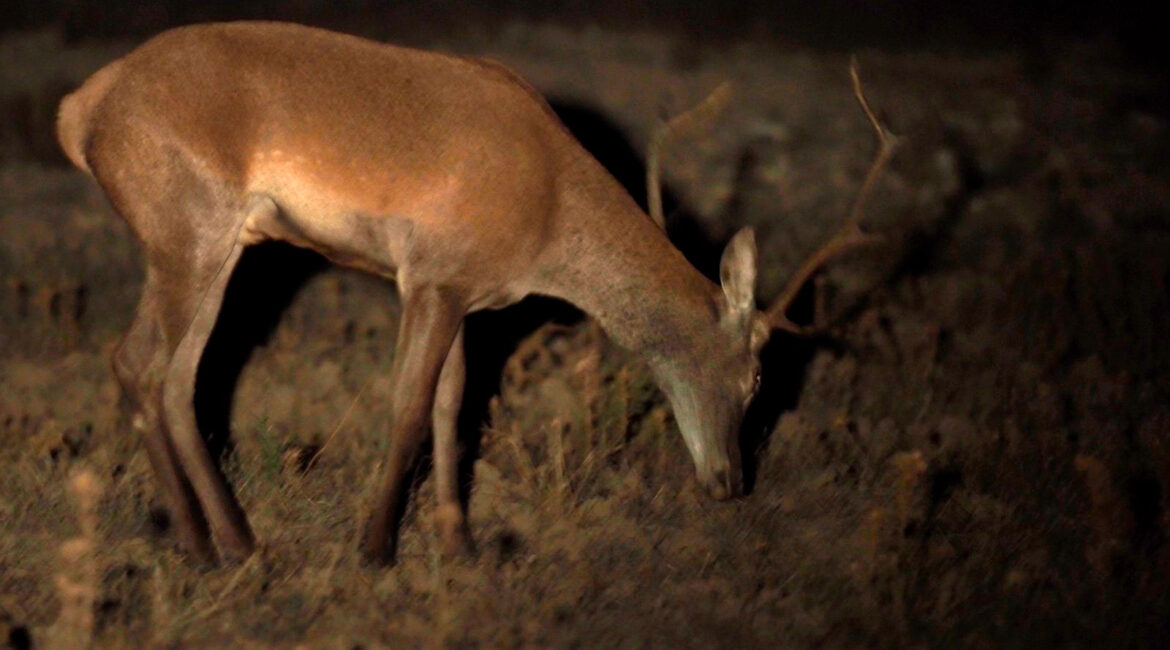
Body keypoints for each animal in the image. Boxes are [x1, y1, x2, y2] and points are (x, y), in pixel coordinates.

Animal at [57, 22, 893, 565]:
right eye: (755, 377)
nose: (730, 482)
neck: (550, 220)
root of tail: (82, 110)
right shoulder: (433, 274)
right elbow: (406, 408)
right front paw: (376, 548)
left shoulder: (466, 294)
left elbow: (451, 408)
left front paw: (461, 543)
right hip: (189, 225)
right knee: (140, 363)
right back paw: (211, 545)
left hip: (220, 243)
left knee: (173, 376)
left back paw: (230, 542)